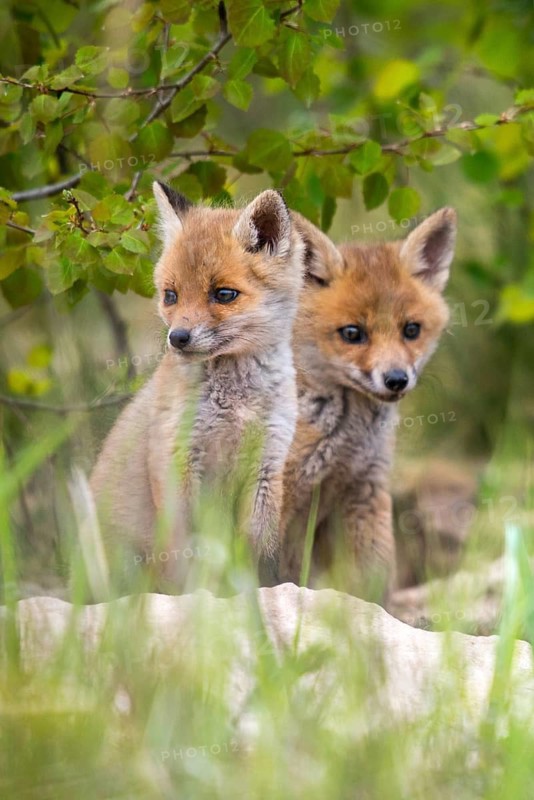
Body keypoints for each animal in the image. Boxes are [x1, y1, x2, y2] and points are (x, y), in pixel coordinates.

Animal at [89, 184, 304, 592]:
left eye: (223, 294)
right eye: (170, 295)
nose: (178, 338)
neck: (236, 403)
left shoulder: (267, 464)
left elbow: (260, 553)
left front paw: (261, 594)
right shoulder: (178, 460)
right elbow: (192, 551)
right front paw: (200, 598)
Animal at [280, 208, 457, 601]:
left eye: (411, 330)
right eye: (352, 333)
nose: (396, 379)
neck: (348, 439)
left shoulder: (366, 487)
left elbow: (374, 581)